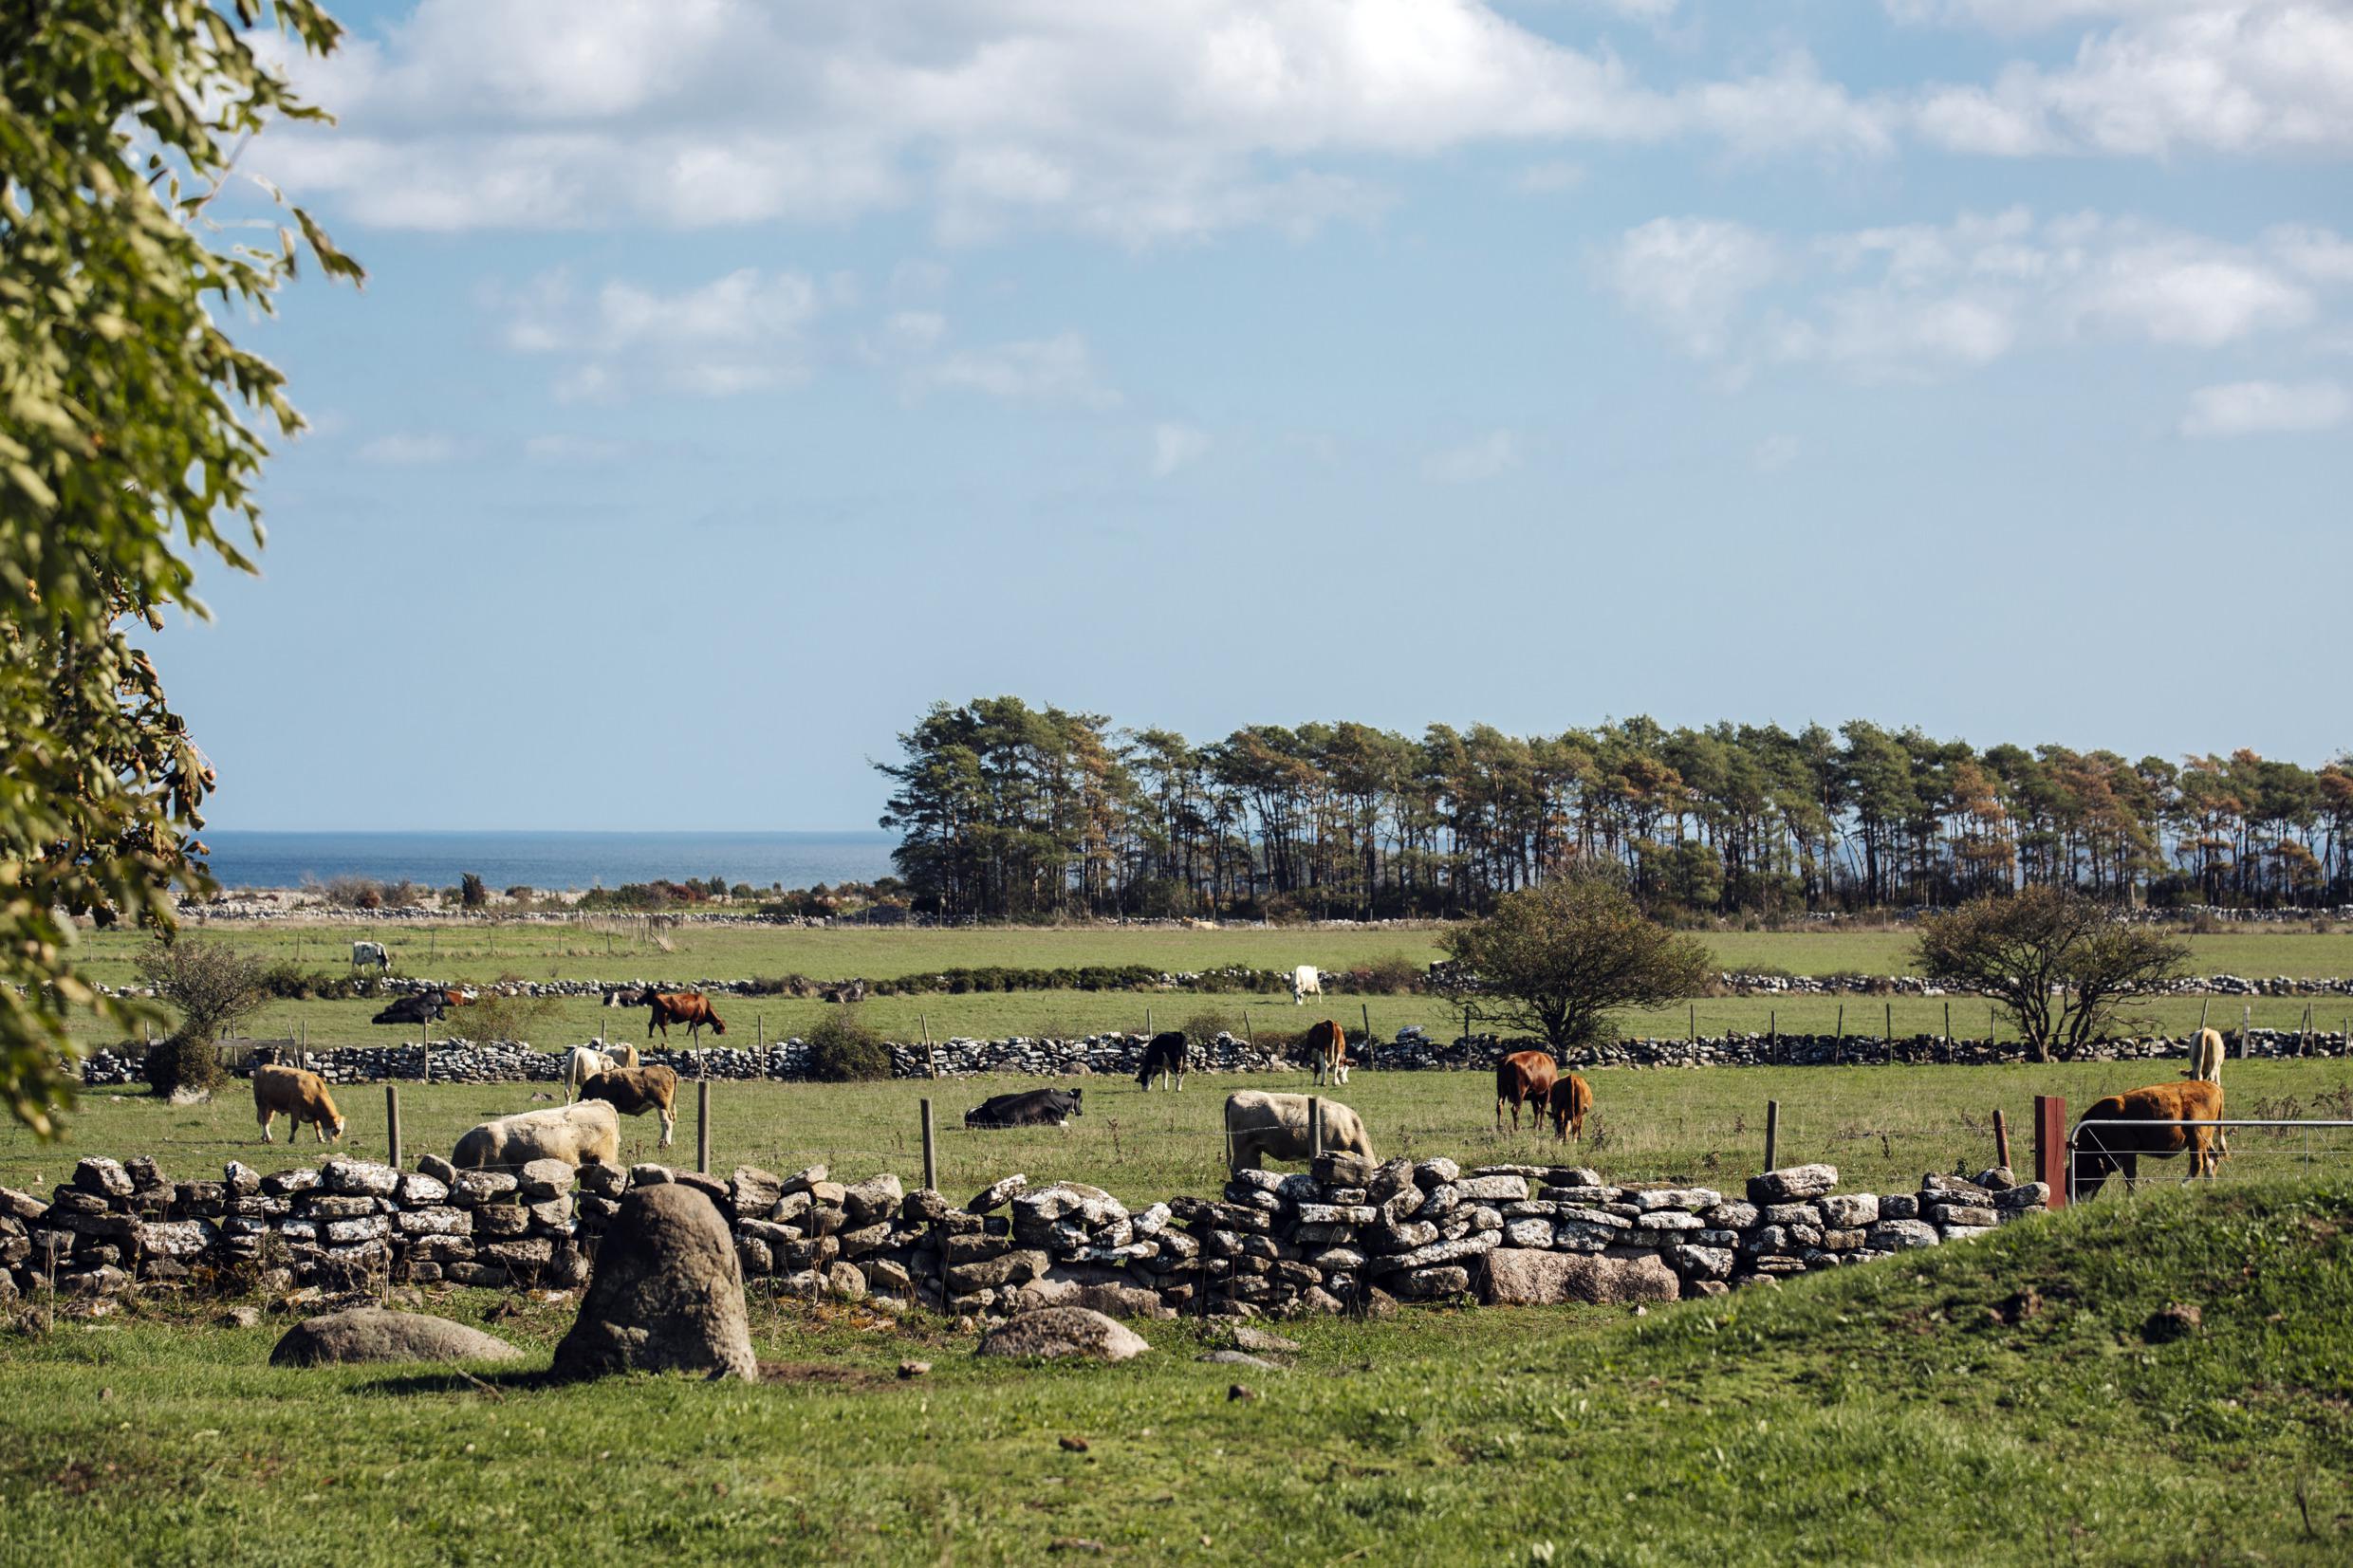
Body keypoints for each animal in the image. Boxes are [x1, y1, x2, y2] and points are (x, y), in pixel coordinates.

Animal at [2072, 1079, 2227, 1200]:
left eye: (2080, 1175)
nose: (2078, 1199)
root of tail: (2213, 1086)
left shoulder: (2128, 1152)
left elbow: (2130, 1178)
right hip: (2205, 1139)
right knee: (2211, 1161)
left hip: (2196, 1137)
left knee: (2198, 1165)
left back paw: (2180, 1187)